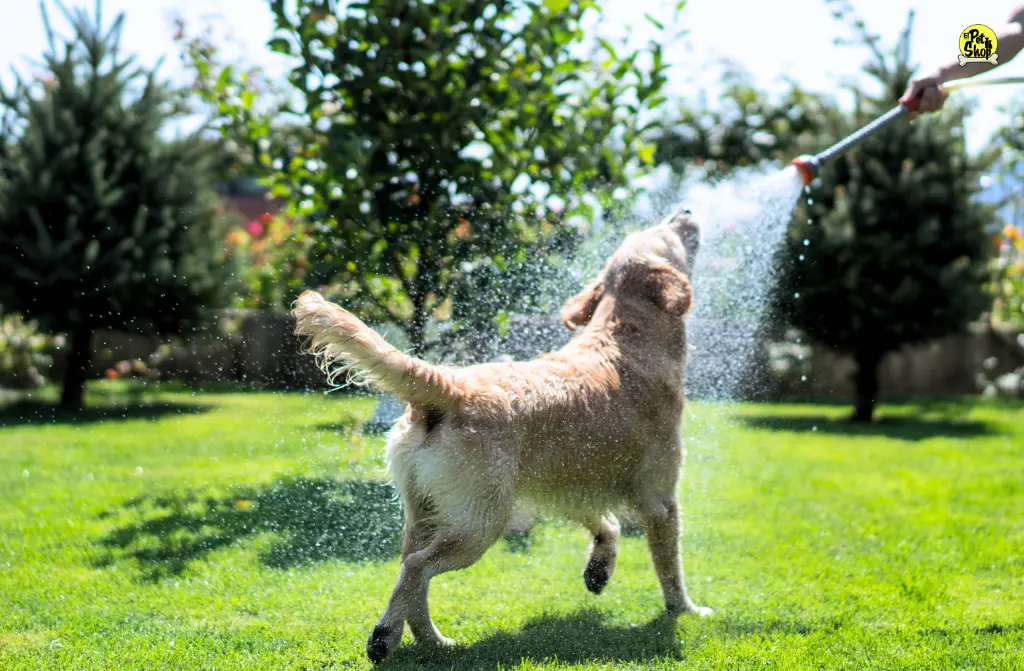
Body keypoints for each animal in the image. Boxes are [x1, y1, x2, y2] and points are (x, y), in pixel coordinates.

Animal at [292, 211, 708, 667]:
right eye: (666, 233)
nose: (686, 212)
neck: (624, 335)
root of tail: (449, 386)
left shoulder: (567, 481)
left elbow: (605, 522)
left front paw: (600, 567)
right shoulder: (660, 499)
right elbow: (670, 566)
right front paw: (685, 610)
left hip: (427, 513)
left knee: (410, 573)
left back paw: (430, 640)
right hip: (480, 523)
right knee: (417, 568)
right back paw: (384, 637)